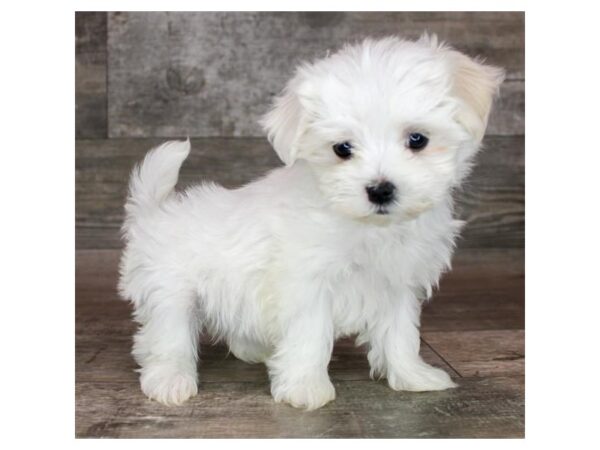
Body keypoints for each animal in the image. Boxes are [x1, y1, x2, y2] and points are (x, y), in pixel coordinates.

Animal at [119, 35, 504, 410]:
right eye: (342, 149)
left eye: (417, 139)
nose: (380, 190)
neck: (366, 226)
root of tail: (156, 212)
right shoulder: (307, 283)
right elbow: (311, 334)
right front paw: (305, 388)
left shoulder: (397, 284)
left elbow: (401, 334)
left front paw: (413, 376)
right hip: (170, 290)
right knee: (165, 337)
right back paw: (170, 379)